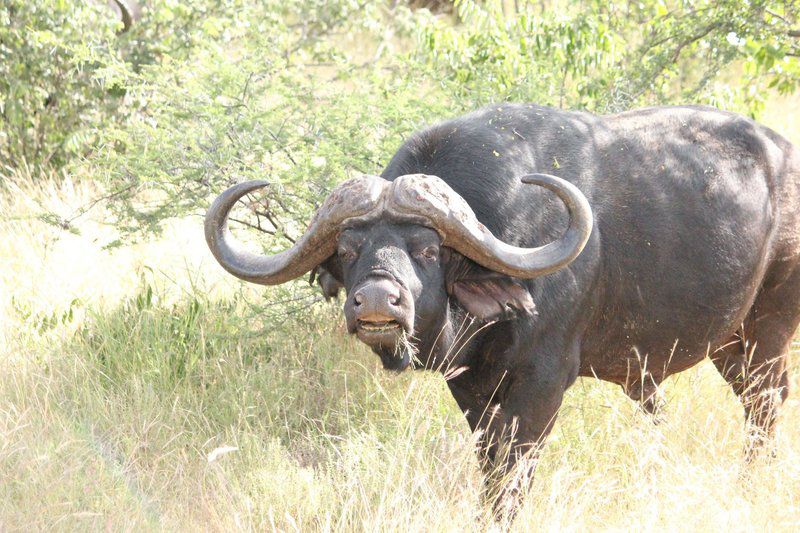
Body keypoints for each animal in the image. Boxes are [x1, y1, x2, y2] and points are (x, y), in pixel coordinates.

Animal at [205, 104, 800, 516]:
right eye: (350, 250)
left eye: (428, 249)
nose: (376, 301)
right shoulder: (472, 386)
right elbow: (490, 464)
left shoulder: (543, 382)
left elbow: (514, 472)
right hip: (729, 345)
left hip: (767, 332)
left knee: (765, 408)